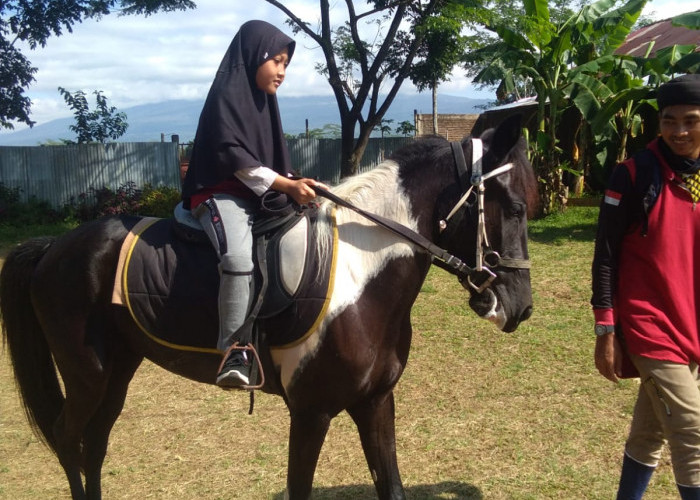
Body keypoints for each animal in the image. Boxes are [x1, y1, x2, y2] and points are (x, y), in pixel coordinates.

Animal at [0, 114, 540, 500]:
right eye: (514, 208)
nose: (520, 307)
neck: (360, 274)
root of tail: (54, 246)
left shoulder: (375, 402)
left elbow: (392, 487)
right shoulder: (311, 411)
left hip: (117, 370)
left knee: (93, 445)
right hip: (87, 373)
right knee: (68, 439)